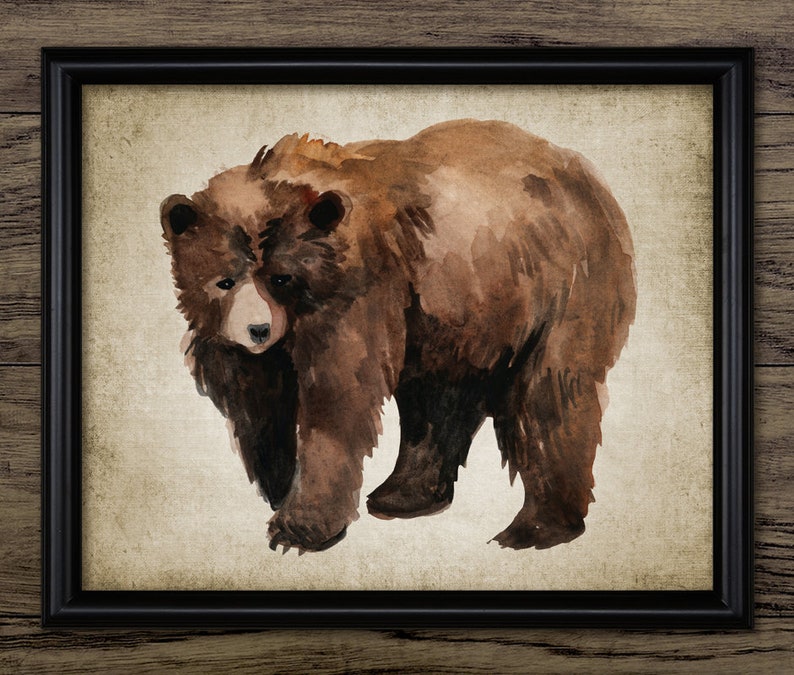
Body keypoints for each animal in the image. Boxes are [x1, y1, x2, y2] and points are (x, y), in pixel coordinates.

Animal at [160, 119, 636, 553]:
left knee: (550, 393)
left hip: (560, 285)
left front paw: (298, 527)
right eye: (224, 280)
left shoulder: (360, 293)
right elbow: (257, 401)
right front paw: (277, 483)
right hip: (459, 313)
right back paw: (403, 495)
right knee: (438, 398)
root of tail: (589, 178)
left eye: (280, 277)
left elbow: (338, 397)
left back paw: (535, 527)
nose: (257, 329)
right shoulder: (242, 344)